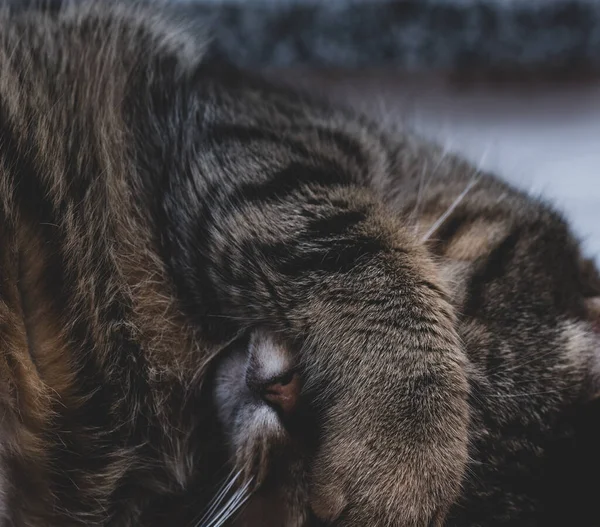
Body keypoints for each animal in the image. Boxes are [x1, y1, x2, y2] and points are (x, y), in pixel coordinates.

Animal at [0, 1, 596, 527]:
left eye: (316, 515)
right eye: (457, 330)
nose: (288, 394)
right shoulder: (247, 128)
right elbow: (357, 250)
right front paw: (405, 442)